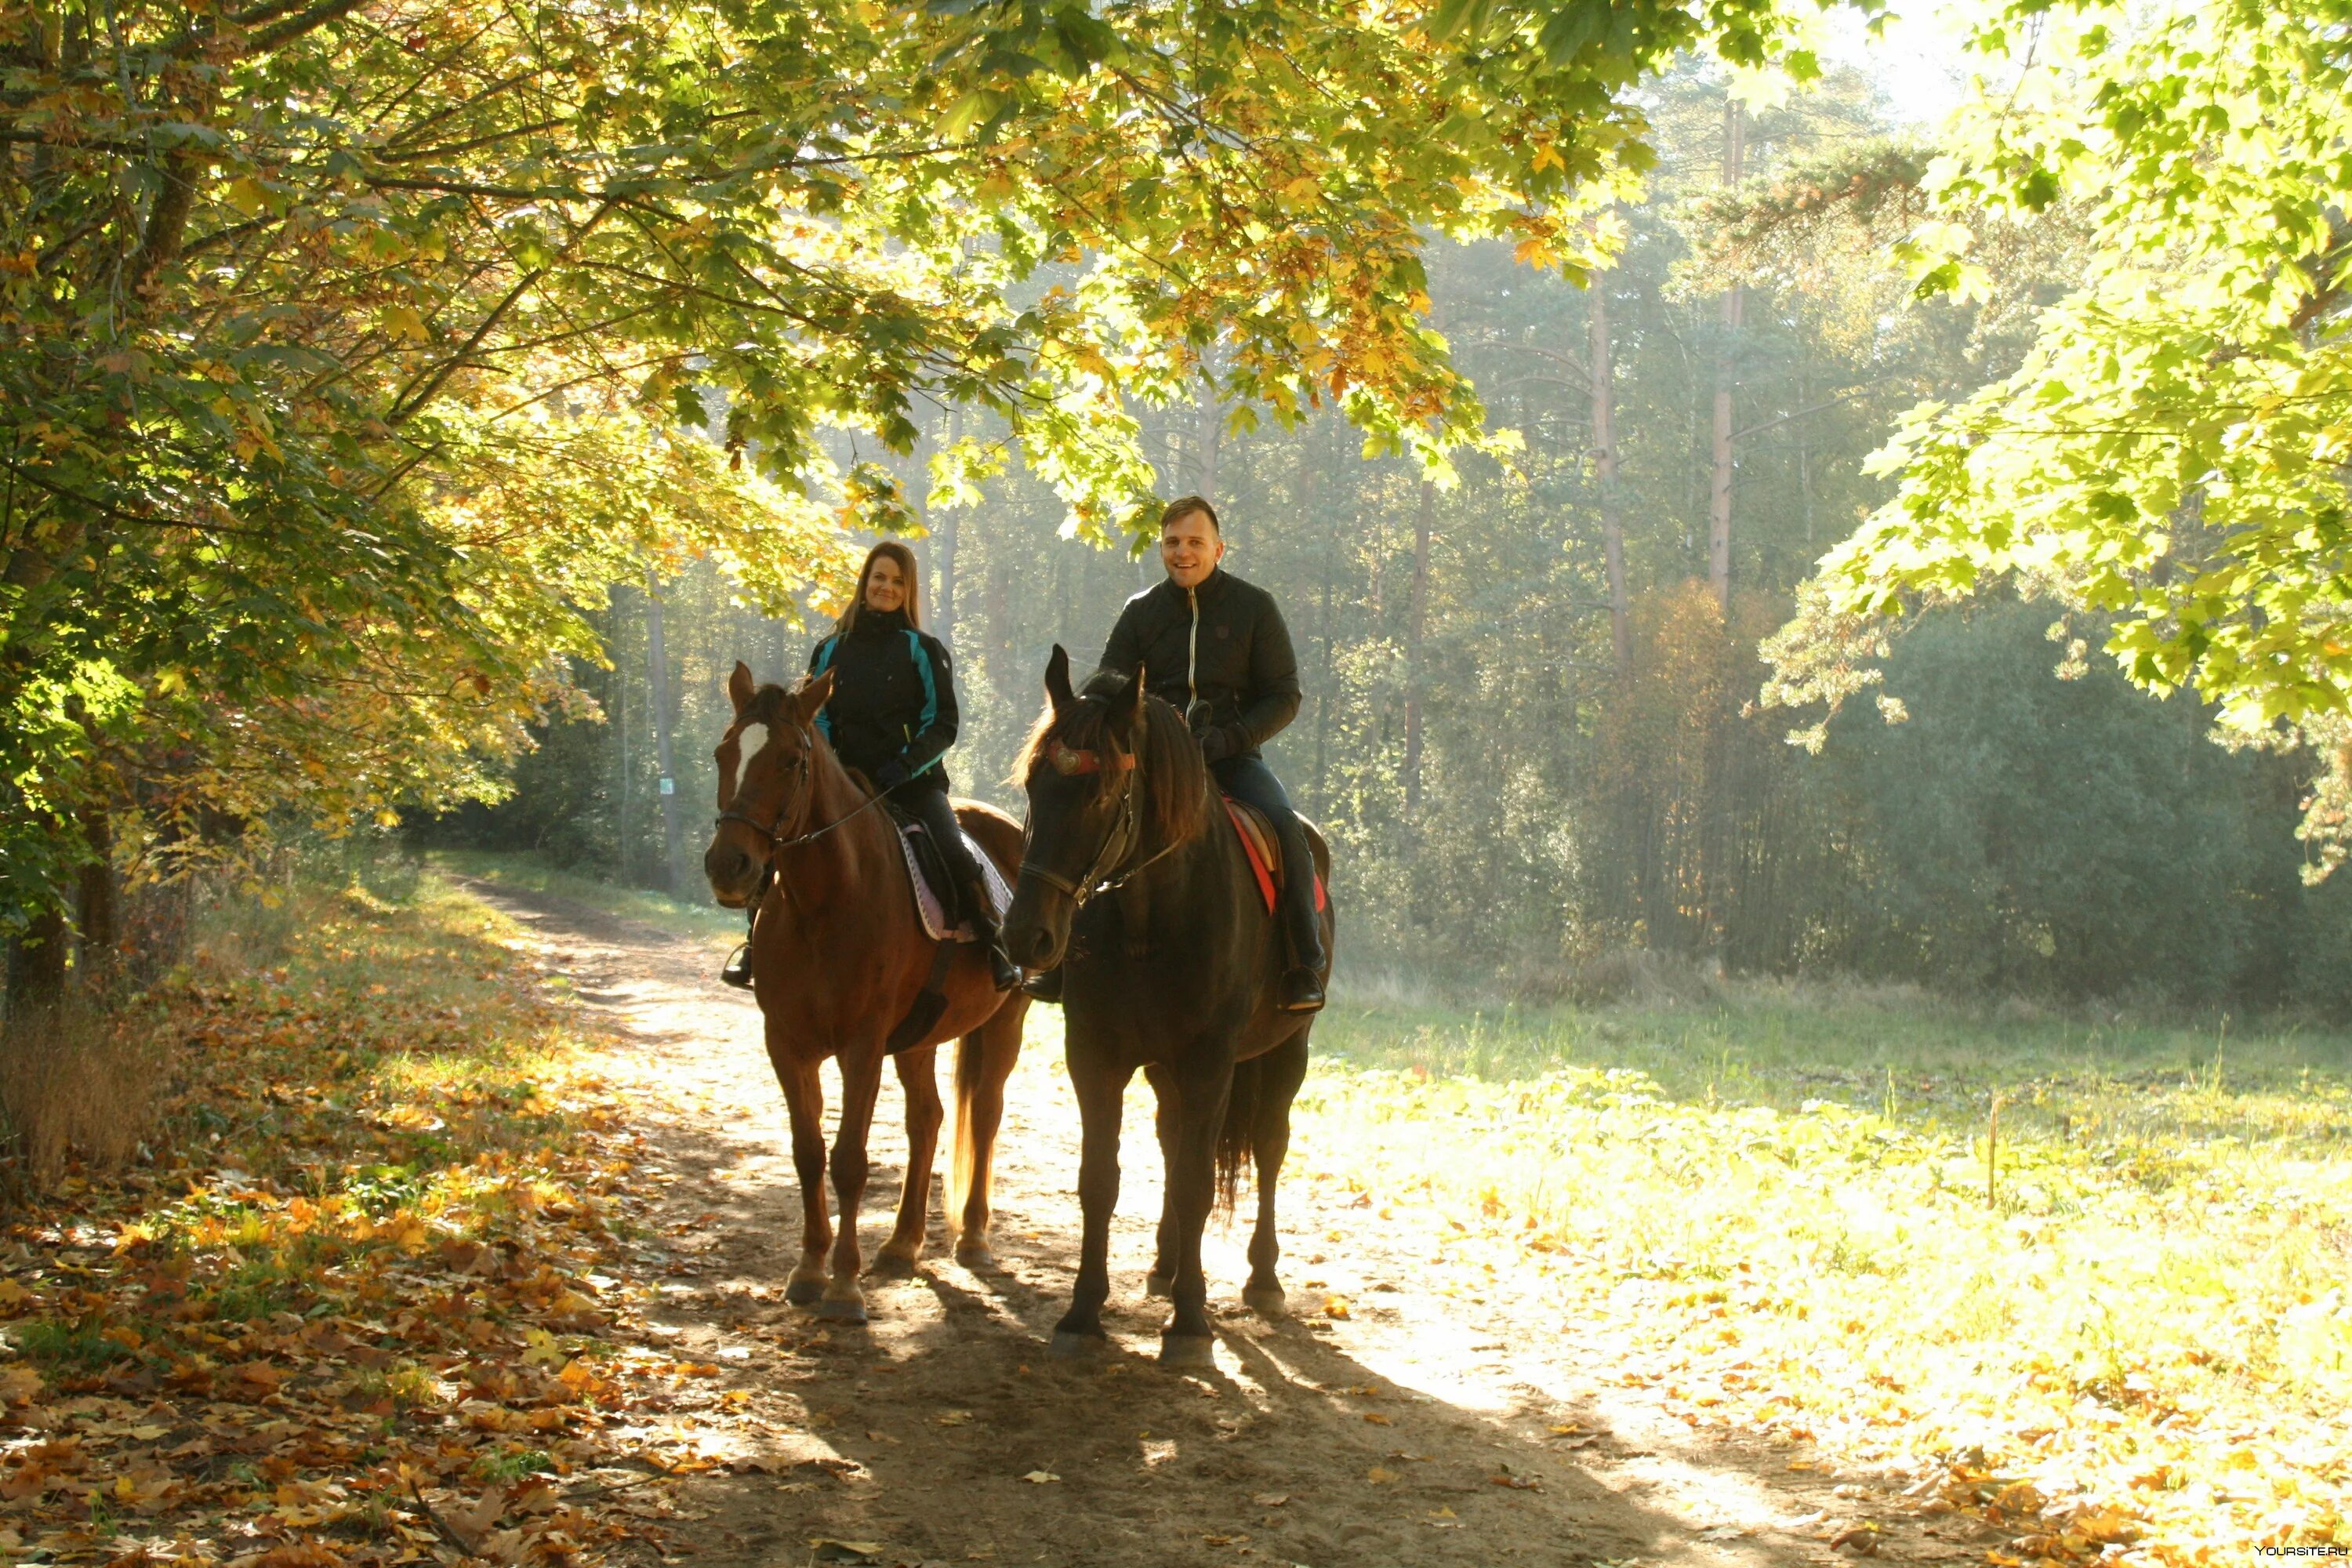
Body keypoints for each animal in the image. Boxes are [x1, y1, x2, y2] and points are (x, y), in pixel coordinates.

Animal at [696, 662, 1030, 1326]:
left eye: (791, 760)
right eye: (724, 752)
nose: (729, 866)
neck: (824, 901)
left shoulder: (861, 1046)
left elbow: (850, 1161)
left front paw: (845, 1288)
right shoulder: (787, 1045)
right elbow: (808, 1154)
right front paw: (808, 1270)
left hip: (1005, 1022)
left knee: (984, 1113)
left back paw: (973, 1237)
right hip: (920, 1037)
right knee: (928, 1119)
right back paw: (901, 1246)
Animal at [993, 644, 1336, 1363]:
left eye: (1099, 793)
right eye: (1034, 786)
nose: (1026, 936)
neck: (1153, 917)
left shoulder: (1209, 1062)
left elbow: (1198, 1182)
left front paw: (1189, 1324)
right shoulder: (1096, 1055)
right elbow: (1102, 1178)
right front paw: (1082, 1312)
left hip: (1286, 1051)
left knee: (1268, 1146)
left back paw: (1262, 1278)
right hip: (1164, 1069)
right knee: (1174, 1141)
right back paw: (1165, 1264)